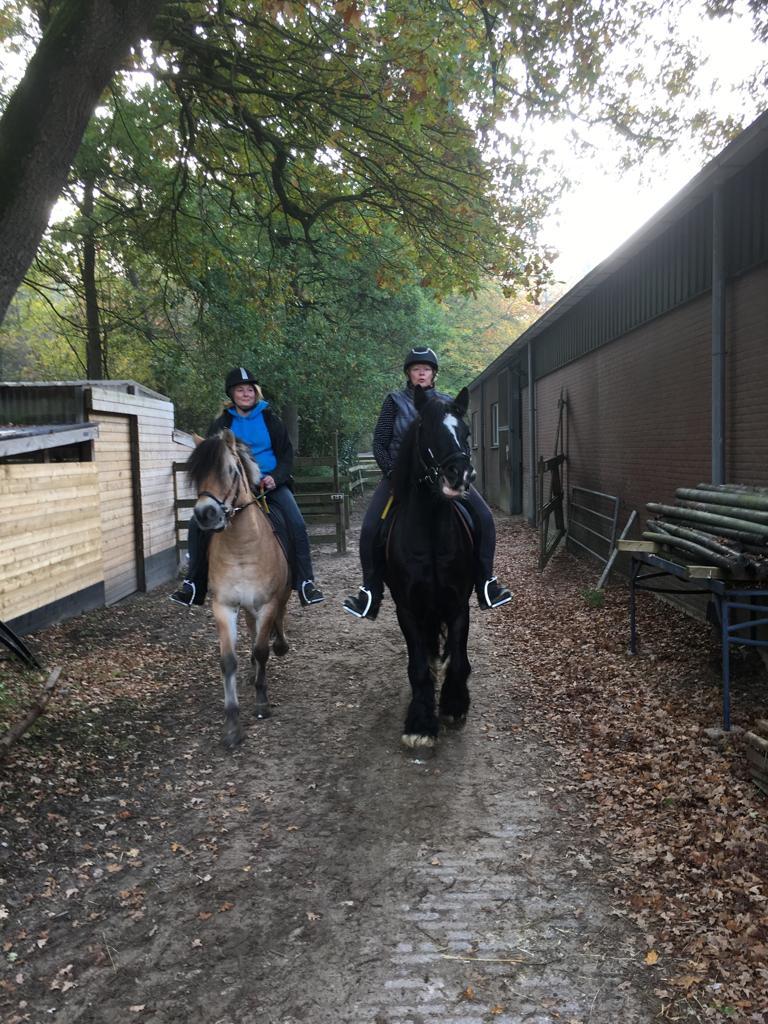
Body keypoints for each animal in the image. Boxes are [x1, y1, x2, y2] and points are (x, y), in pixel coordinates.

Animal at [186, 430, 291, 748]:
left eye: (231, 471)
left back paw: (280, 644)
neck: (242, 548)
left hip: (280, 595)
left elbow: (262, 650)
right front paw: (232, 725)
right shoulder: (224, 606)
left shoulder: (268, 602)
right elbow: (228, 661)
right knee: (252, 628)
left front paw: (262, 704)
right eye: (197, 474)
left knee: (278, 618)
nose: (206, 514)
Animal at [384, 385, 476, 751]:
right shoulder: (407, 609)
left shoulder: (458, 604)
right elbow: (419, 666)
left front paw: (453, 703)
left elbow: (459, 658)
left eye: (466, 432)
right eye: (428, 430)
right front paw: (421, 723)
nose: (460, 475)